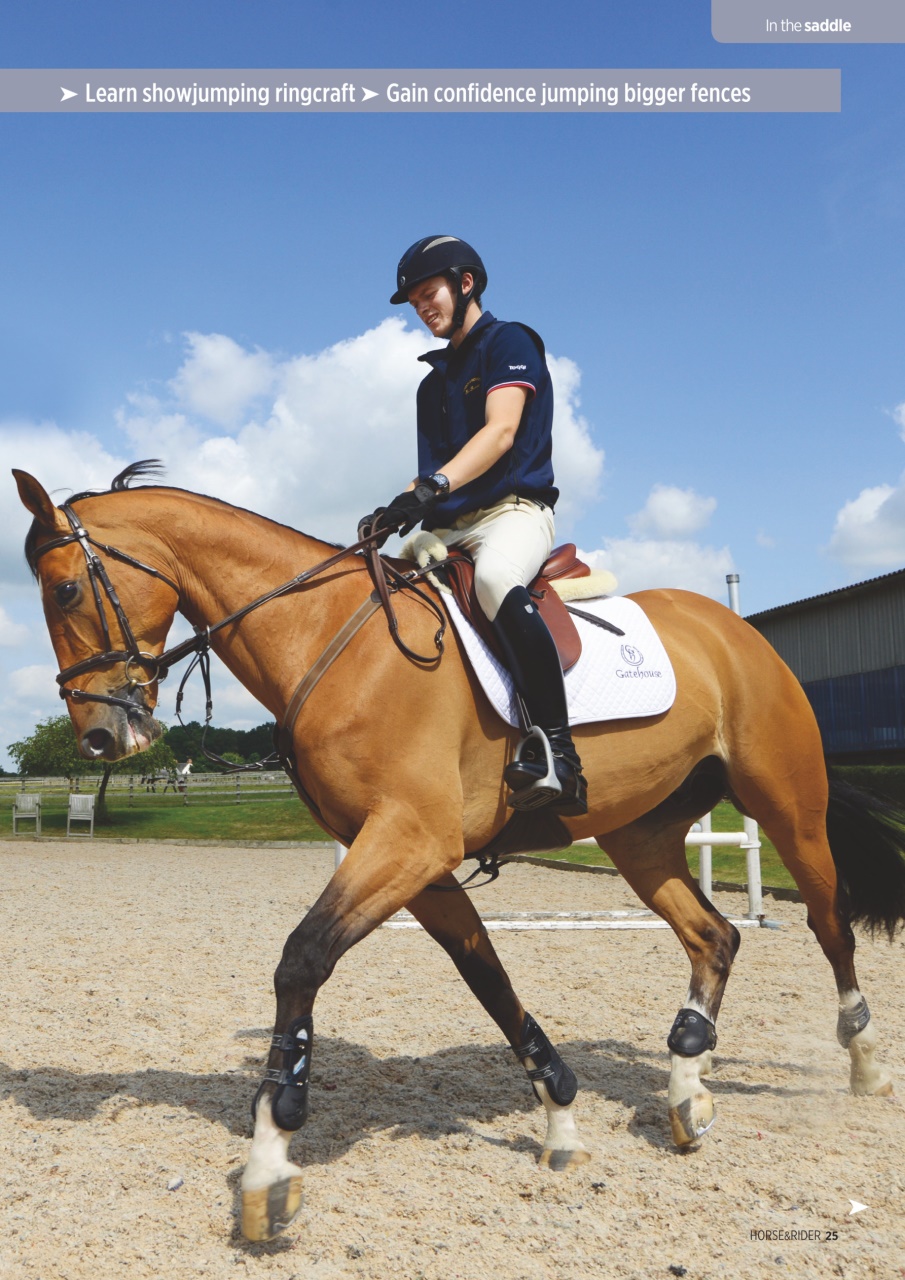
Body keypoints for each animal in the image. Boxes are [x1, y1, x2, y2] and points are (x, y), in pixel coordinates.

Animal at [14, 463, 905, 1243]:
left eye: (66, 590)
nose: (100, 737)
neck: (327, 638)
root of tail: (732, 628)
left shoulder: (410, 838)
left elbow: (301, 961)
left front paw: (269, 1160)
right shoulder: (417, 863)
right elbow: (489, 979)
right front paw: (560, 1116)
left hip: (785, 805)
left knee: (827, 923)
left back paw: (861, 1062)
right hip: (640, 835)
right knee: (712, 935)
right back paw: (686, 1085)